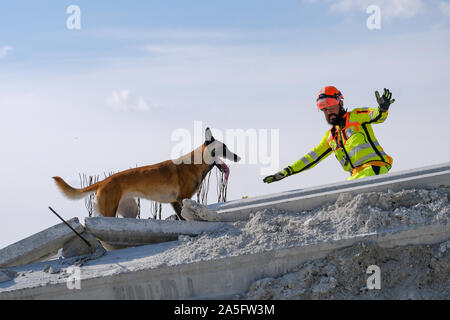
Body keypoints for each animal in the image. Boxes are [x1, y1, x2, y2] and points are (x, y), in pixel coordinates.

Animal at [52, 127, 241, 220]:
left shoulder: (174, 202)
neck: (194, 162)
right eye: (224, 147)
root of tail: (103, 182)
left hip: (130, 211)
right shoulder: (183, 199)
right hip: (109, 211)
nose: (238, 157)